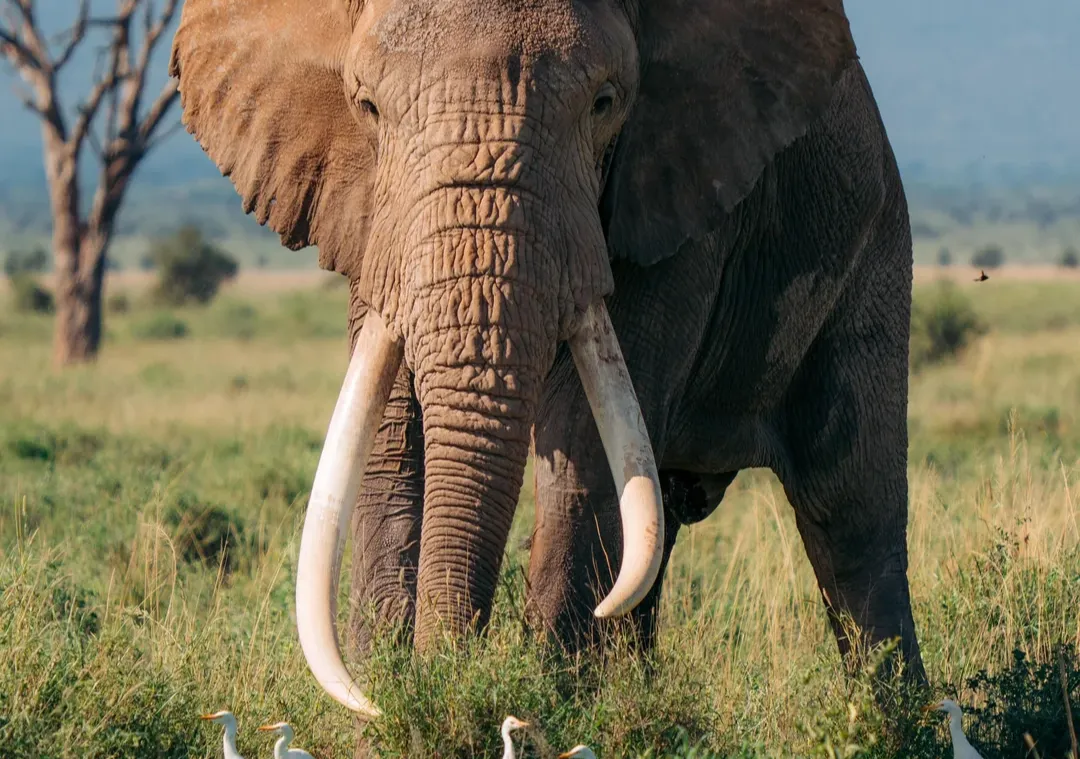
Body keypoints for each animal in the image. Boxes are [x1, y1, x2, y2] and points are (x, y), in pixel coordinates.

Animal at [170, 0, 925, 724]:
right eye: (368, 107)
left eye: (604, 103)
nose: (447, 682)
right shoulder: (367, 214)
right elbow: (390, 446)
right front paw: (381, 711)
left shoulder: (672, 197)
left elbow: (585, 452)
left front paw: (540, 708)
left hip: (875, 245)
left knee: (850, 514)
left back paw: (892, 723)